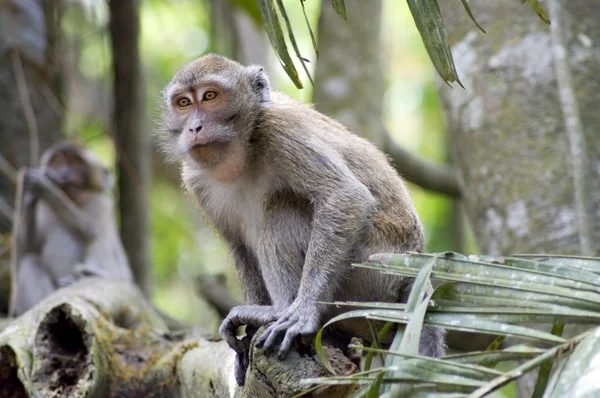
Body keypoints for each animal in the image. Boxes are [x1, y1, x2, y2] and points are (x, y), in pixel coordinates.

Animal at [8, 141, 132, 316]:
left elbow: (91, 230)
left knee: (101, 240)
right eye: (58, 162)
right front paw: (31, 190)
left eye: (75, 164)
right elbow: (25, 249)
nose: (64, 173)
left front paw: (45, 188)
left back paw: (89, 274)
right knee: (29, 261)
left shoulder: (101, 203)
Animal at [159, 54, 446, 384]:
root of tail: (414, 274)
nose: (194, 127)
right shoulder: (195, 181)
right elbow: (238, 247)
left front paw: (302, 312)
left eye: (210, 96)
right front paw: (247, 338)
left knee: (284, 208)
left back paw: (281, 310)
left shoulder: (280, 131)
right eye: (183, 103)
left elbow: (345, 196)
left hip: (373, 274)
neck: (243, 151)